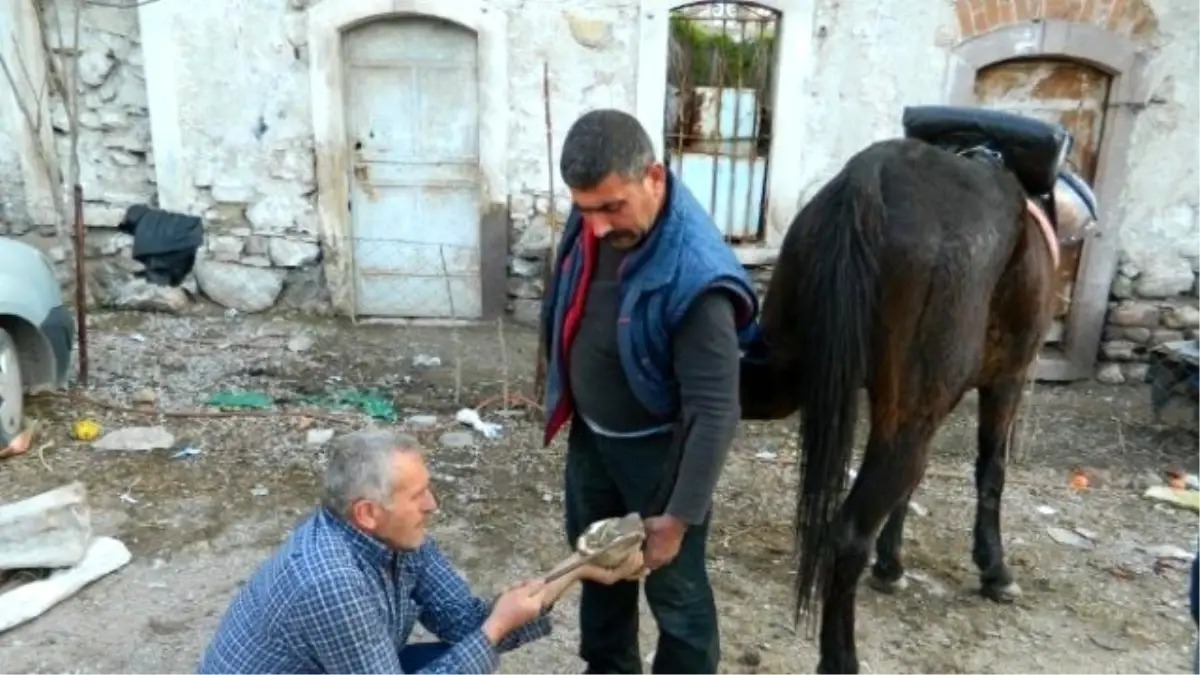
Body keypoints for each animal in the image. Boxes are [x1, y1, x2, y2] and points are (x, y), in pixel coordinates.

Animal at [744, 107, 1099, 667]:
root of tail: (869, 177)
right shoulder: (1007, 381)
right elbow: (990, 471)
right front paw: (995, 571)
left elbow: (912, 489)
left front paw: (891, 565)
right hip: (910, 412)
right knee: (847, 534)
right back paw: (840, 658)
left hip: (789, 376)